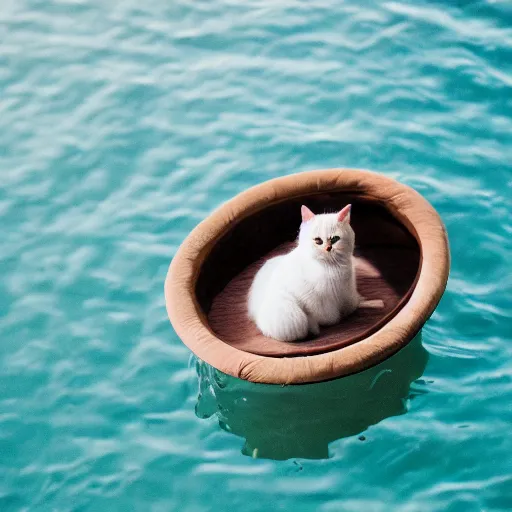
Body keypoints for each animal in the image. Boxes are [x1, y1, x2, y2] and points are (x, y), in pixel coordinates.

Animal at [248, 202, 360, 342]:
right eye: (318, 241)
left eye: (335, 239)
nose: (328, 248)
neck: (331, 267)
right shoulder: (314, 299)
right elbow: (326, 317)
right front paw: (330, 321)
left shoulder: (346, 292)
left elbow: (349, 306)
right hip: (289, 312)